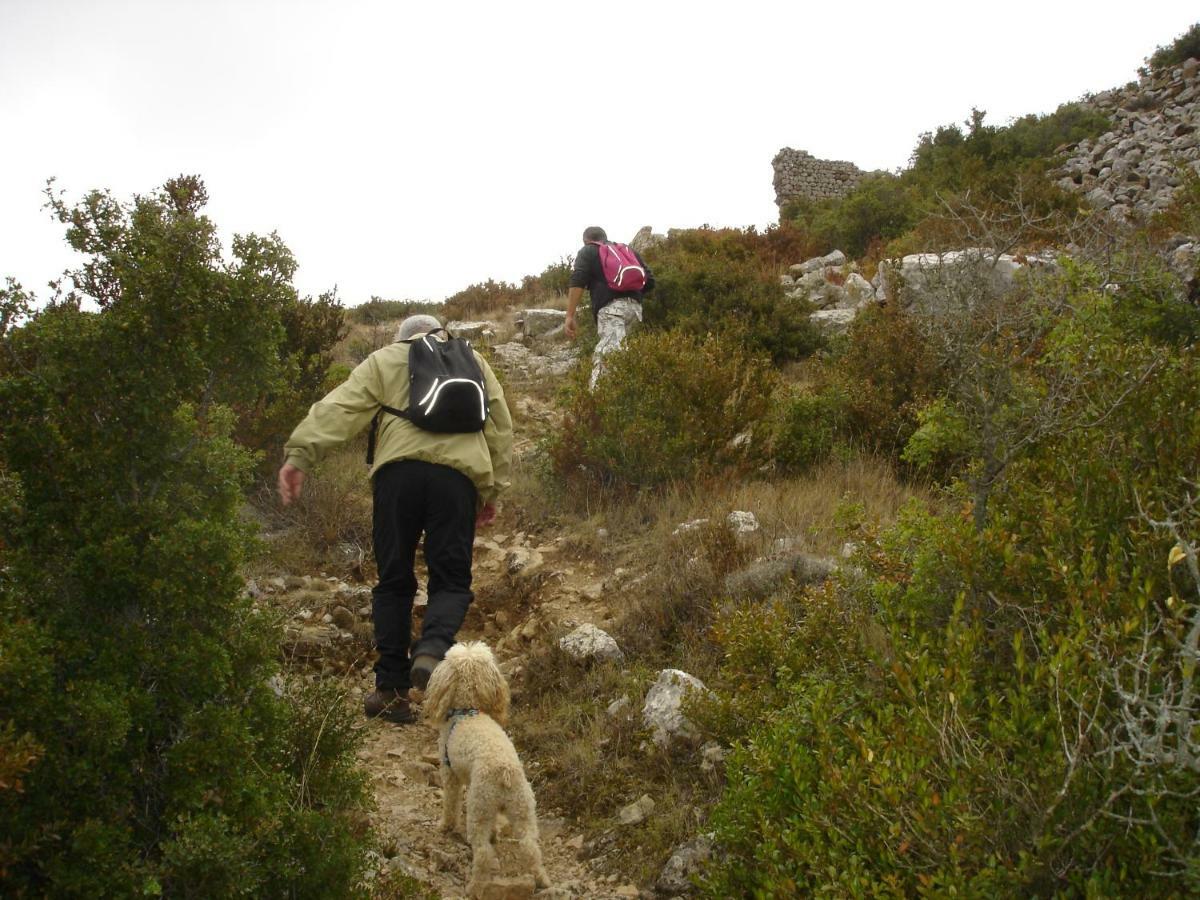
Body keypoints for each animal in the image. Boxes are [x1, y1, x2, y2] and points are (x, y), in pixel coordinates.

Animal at [422, 643, 552, 897]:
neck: (467, 711)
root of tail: (504, 771)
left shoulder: (449, 773)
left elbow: (450, 804)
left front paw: (445, 826)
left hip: (479, 808)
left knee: (483, 853)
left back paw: (474, 886)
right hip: (523, 808)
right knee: (530, 847)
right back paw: (542, 880)